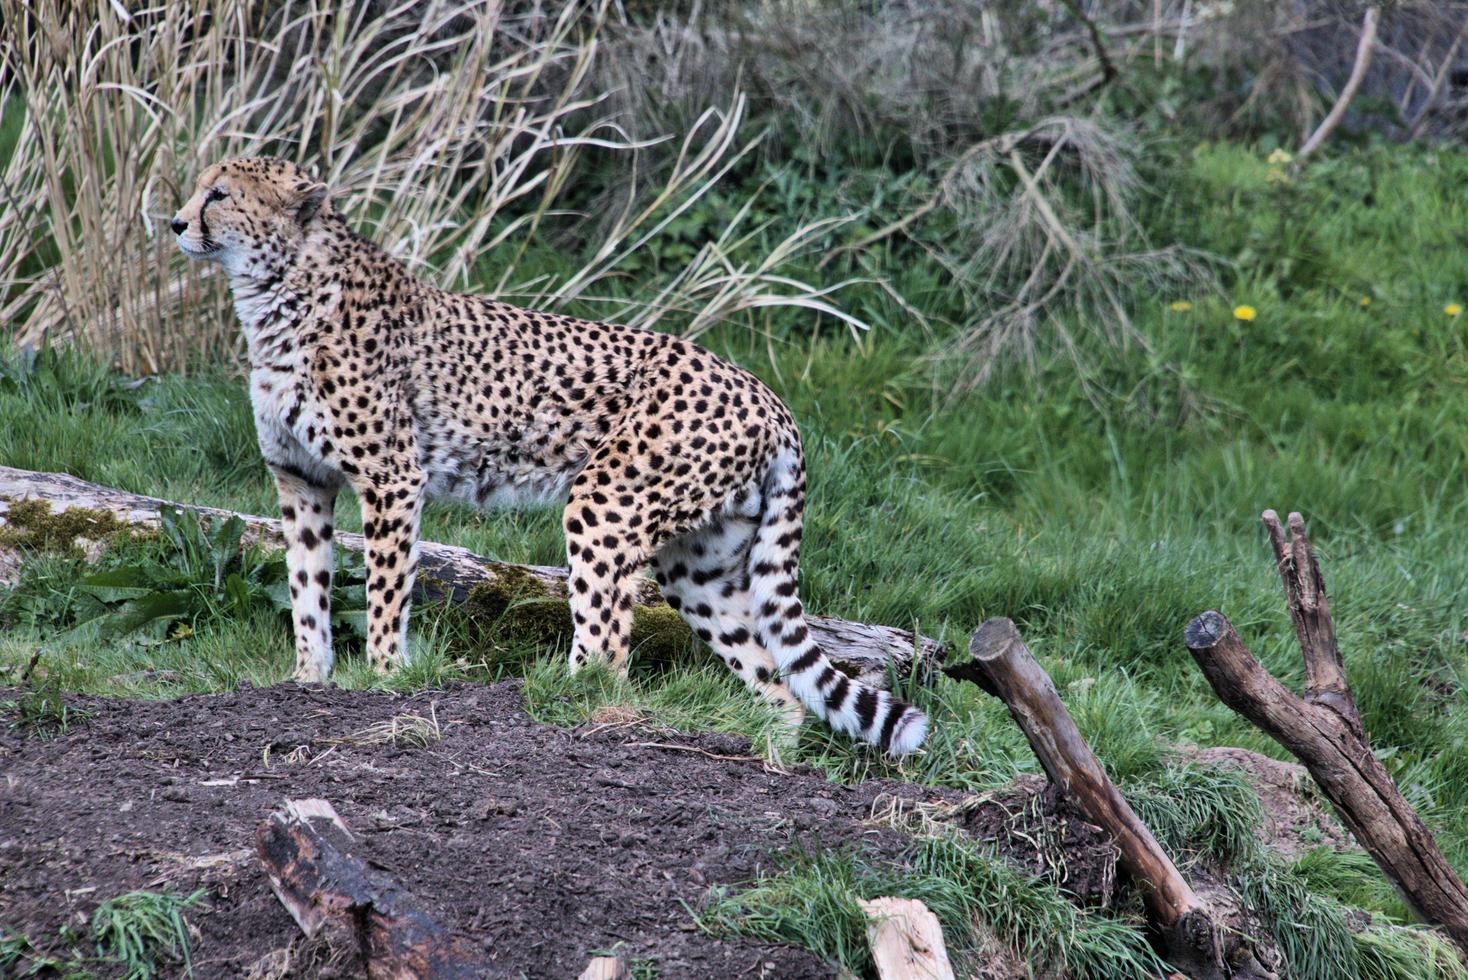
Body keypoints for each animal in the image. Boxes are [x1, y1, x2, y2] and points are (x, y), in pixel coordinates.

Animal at [171, 159, 927, 757]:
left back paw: (557, 712)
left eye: (220, 193)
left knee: (609, 649)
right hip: (698, 565)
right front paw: (308, 679)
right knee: (777, 683)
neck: (277, 292)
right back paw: (768, 751)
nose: (176, 222)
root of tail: (765, 391)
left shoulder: (391, 477)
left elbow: (385, 591)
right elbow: (307, 585)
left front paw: (385, 677)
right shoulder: (301, 481)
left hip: (605, 502)